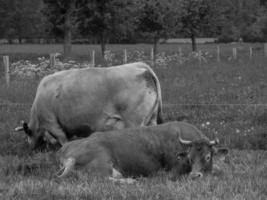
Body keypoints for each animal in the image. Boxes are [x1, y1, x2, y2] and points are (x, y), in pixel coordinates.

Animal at [15, 61, 163, 149]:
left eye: (28, 135)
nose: (30, 148)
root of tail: (140, 66)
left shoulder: (51, 123)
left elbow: (63, 140)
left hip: (134, 121)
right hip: (152, 119)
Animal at [56, 121, 228, 180]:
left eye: (208, 156)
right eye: (190, 158)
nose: (195, 175)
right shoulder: (171, 172)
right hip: (102, 164)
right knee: (104, 179)